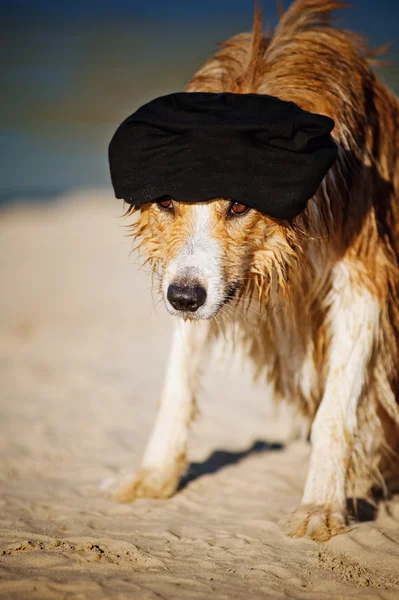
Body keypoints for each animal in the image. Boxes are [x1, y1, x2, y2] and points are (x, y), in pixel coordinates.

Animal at [107, 0, 399, 540]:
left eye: (241, 205)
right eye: (165, 201)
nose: (183, 300)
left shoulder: (364, 274)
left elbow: (335, 408)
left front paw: (320, 505)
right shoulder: (200, 280)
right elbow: (176, 381)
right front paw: (154, 473)